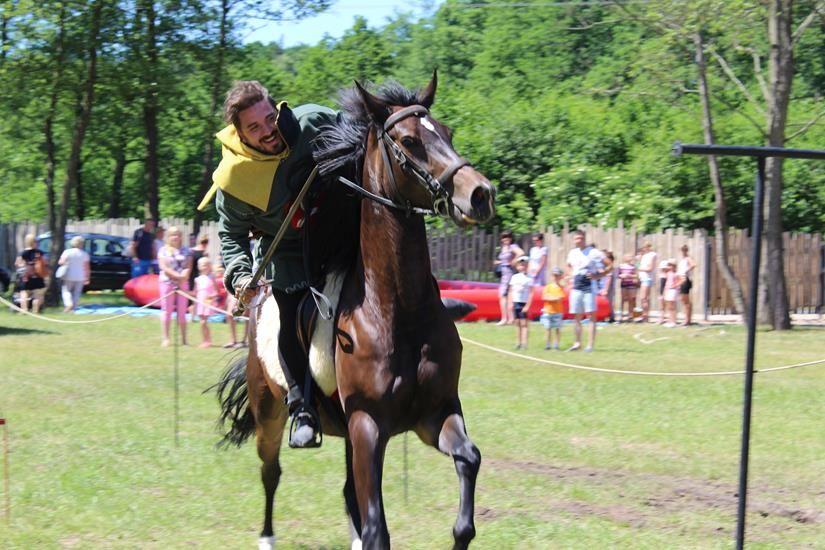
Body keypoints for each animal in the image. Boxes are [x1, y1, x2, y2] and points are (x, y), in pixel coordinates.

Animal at [214, 74, 496, 550]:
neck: (398, 310)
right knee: (270, 472)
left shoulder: (435, 414)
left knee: (348, 492)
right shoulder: (368, 425)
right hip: (270, 413)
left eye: (447, 132)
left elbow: (468, 464)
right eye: (408, 141)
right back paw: (267, 536)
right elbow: (377, 528)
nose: (479, 194)